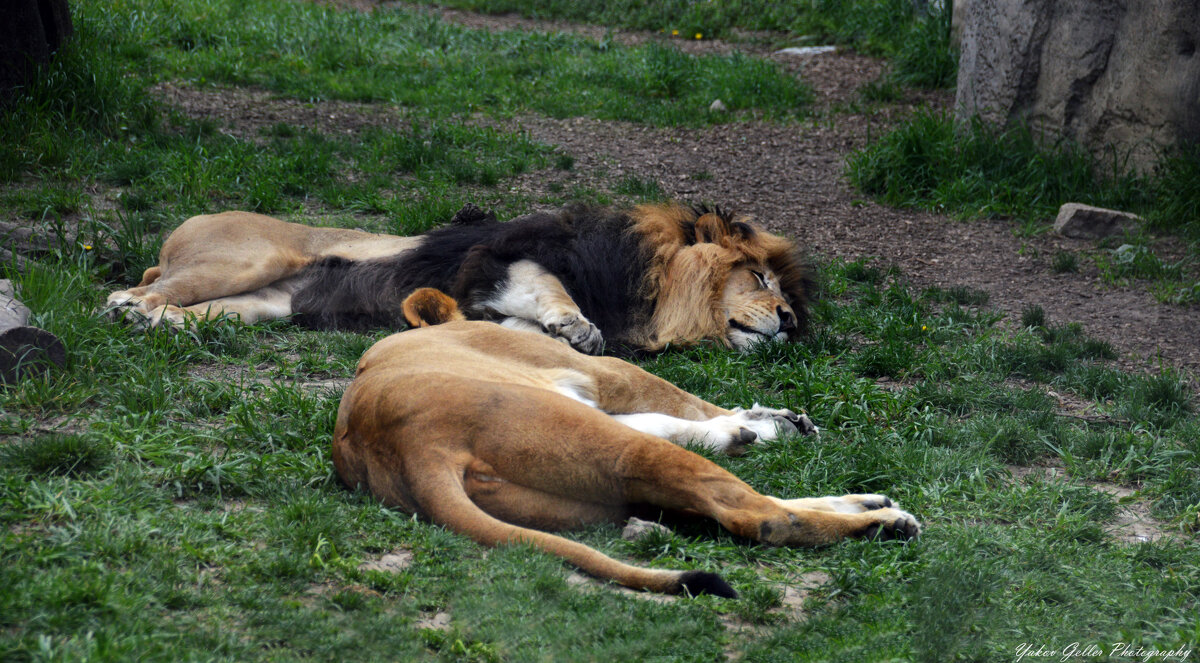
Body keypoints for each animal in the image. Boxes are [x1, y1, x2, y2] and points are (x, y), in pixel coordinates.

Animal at [333, 288, 921, 595]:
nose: (583, 331)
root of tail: (413, 450)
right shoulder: (604, 374)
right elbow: (683, 403)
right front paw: (769, 425)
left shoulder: (593, 396)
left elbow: (675, 419)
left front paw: (762, 427)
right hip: (611, 446)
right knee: (756, 515)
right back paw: (882, 524)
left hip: (590, 489)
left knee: (724, 499)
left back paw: (869, 504)